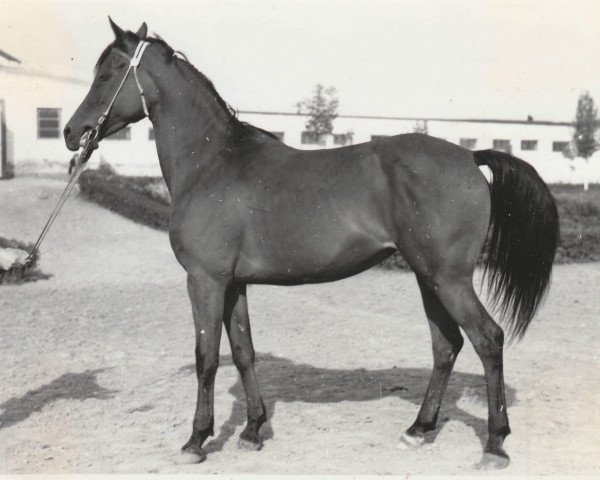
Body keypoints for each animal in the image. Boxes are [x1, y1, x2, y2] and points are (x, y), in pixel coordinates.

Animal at [63, 19, 560, 468]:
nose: (71, 132)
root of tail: (470, 157)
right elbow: (243, 352)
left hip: (449, 279)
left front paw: (196, 440)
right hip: (428, 276)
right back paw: (419, 429)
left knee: (487, 339)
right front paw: (252, 430)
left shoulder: (205, 281)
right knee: (447, 345)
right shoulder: (234, 284)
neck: (213, 162)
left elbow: (207, 357)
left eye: (109, 72)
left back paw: (495, 444)